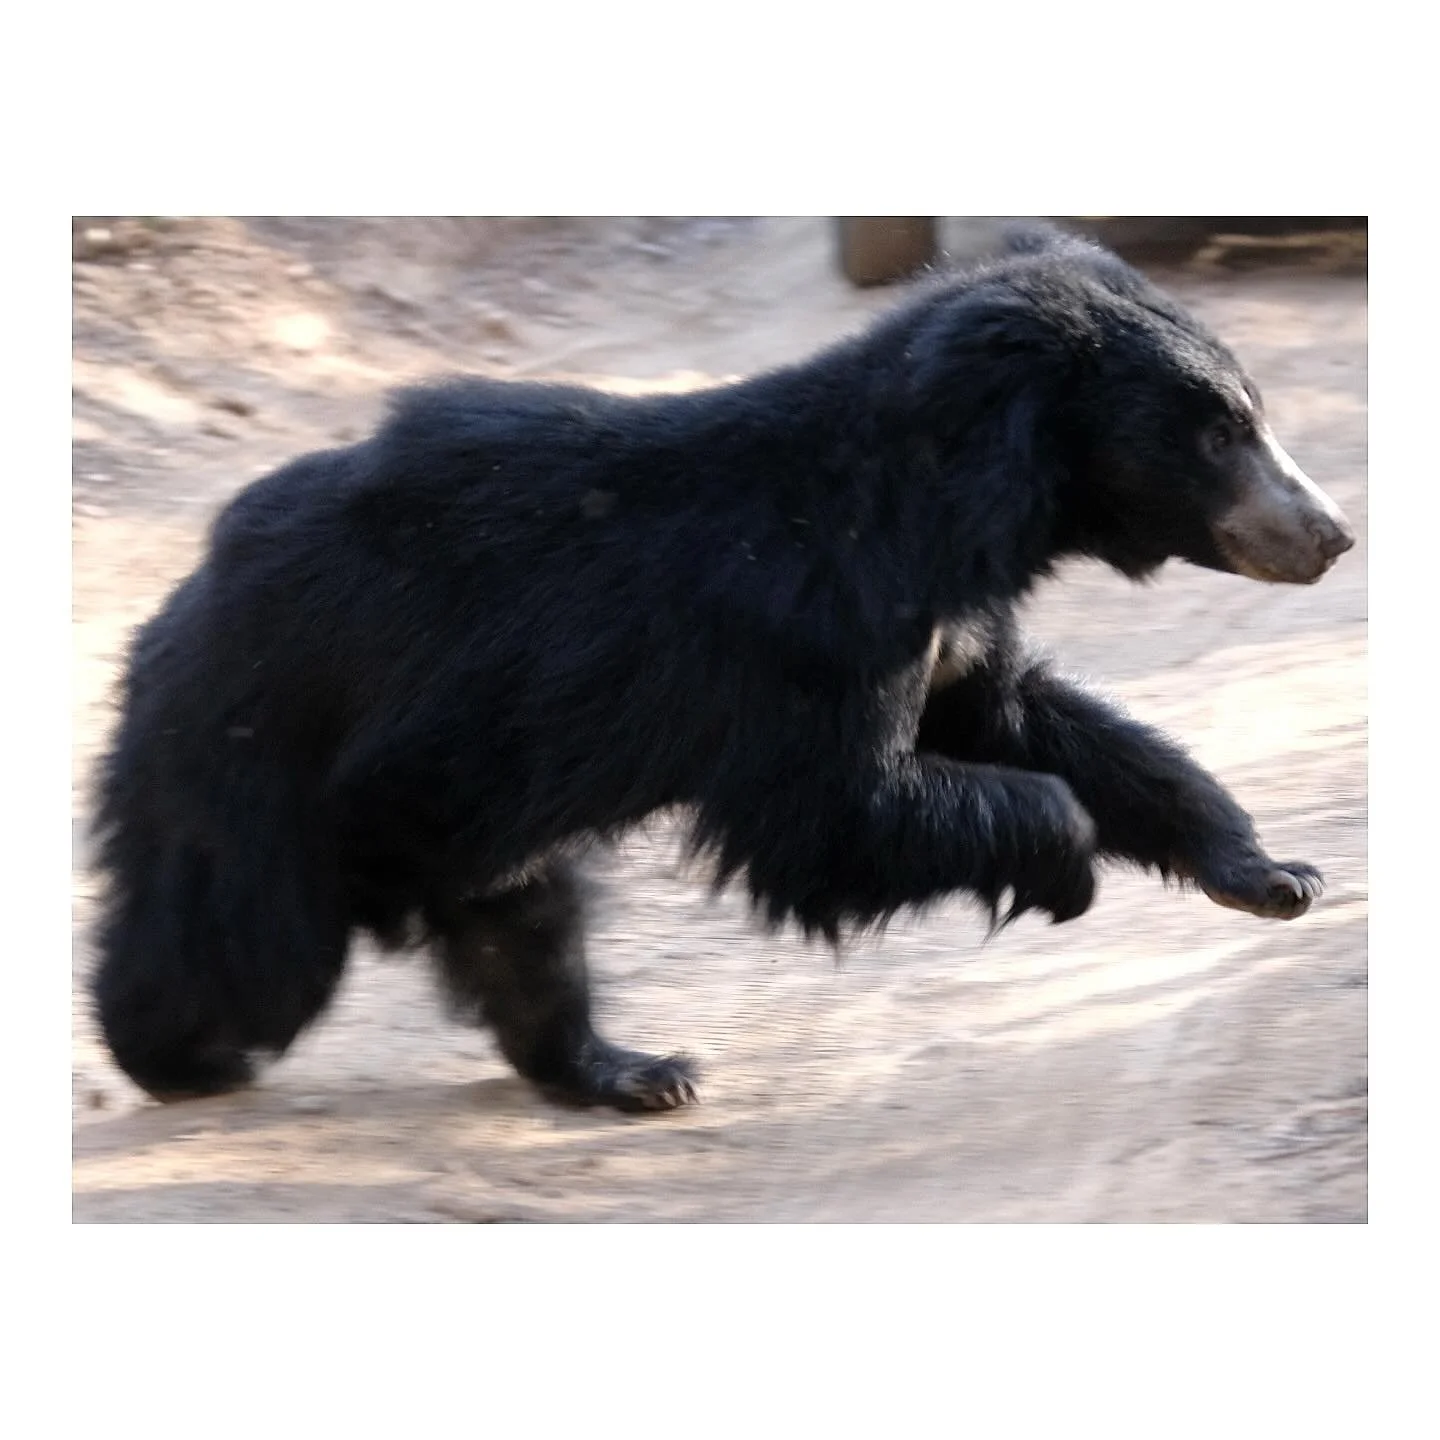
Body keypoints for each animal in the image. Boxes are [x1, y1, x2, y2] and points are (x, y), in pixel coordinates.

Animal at [89, 225, 1355, 1113]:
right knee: (245, 929)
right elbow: (833, 814)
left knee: (520, 921)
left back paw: (626, 1070)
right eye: (1222, 432)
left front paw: (1270, 872)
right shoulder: (810, 628)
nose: (1333, 535)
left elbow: (1027, 719)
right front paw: (1068, 870)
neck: (952, 506)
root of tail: (188, 591)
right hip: (266, 736)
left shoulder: (948, 627)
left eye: (1250, 414)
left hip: (454, 792)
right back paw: (175, 1054)